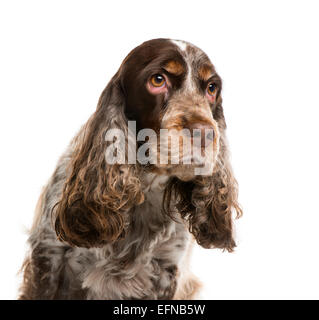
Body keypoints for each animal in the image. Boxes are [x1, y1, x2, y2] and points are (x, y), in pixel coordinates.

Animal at [18, 38, 242, 300]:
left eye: (211, 88)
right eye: (157, 80)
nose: (205, 133)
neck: (145, 186)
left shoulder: (167, 271)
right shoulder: (47, 255)